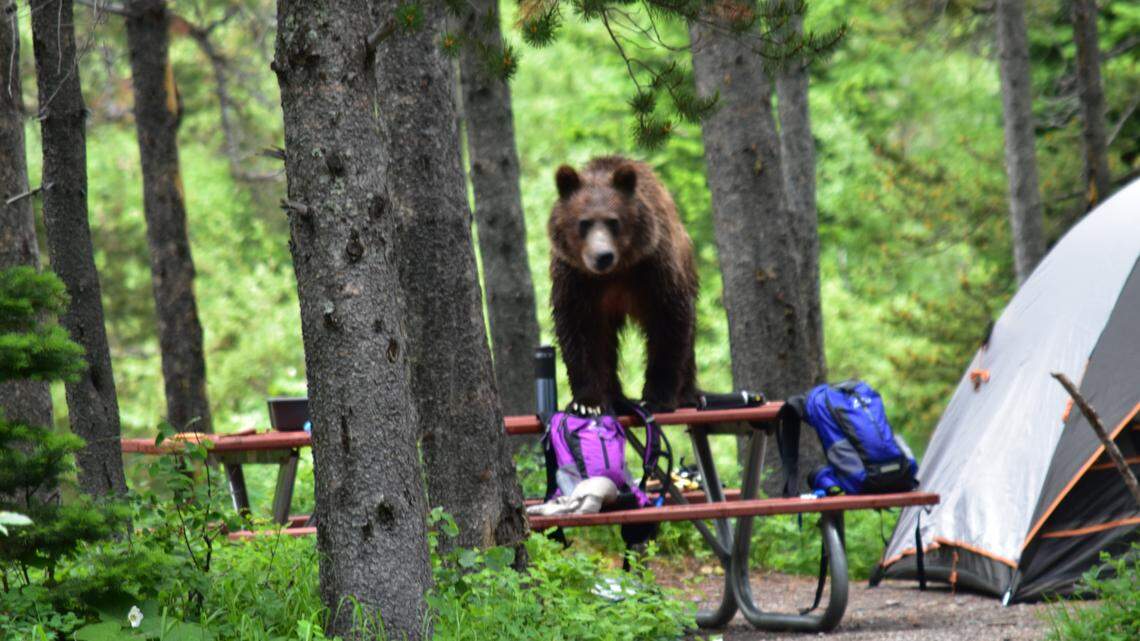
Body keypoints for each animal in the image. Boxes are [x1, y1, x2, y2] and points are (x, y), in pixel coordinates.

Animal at [548, 156, 699, 415]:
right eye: (584, 223)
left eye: (613, 221)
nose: (602, 256)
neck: (615, 272)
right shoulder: (576, 278)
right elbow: (579, 331)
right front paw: (587, 402)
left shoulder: (653, 267)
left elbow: (669, 320)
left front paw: (657, 397)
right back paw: (615, 397)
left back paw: (688, 394)